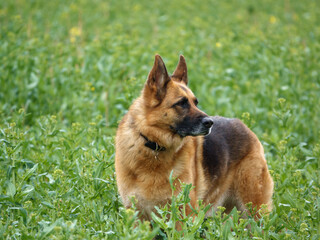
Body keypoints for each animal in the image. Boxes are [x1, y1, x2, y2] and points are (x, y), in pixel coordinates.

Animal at [114, 54, 272, 221]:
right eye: (181, 103)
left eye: (195, 102)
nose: (210, 123)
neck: (153, 146)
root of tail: (244, 126)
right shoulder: (137, 216)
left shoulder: (184, 215)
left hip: (254, 211)